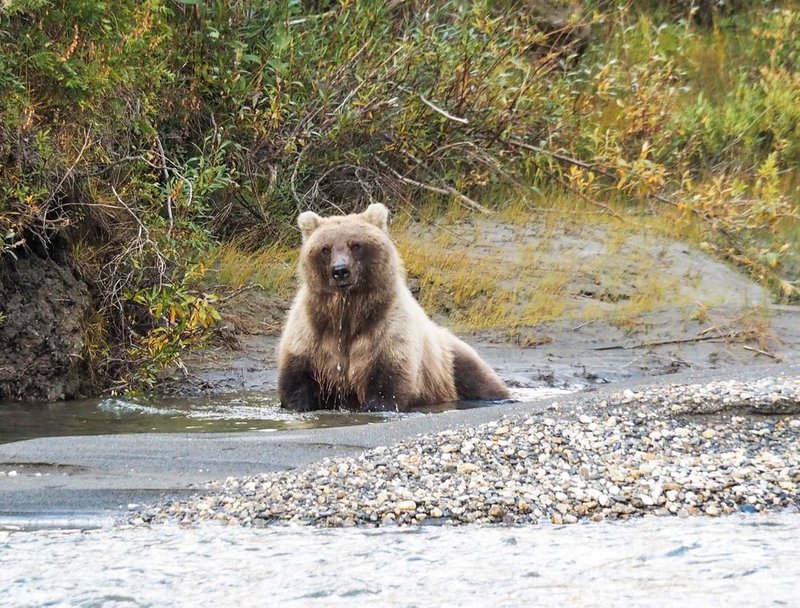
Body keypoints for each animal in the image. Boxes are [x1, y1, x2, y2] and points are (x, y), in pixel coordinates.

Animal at [278, 202, 510, 410]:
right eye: (325, 248)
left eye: (356, 245)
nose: (340, 270)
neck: (347, 313)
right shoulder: (310, 336)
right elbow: (297, 380)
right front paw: (299, 404)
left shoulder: (387, 333)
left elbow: (387, 382)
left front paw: (375, 406)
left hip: (451, 360)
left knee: (479, 379)